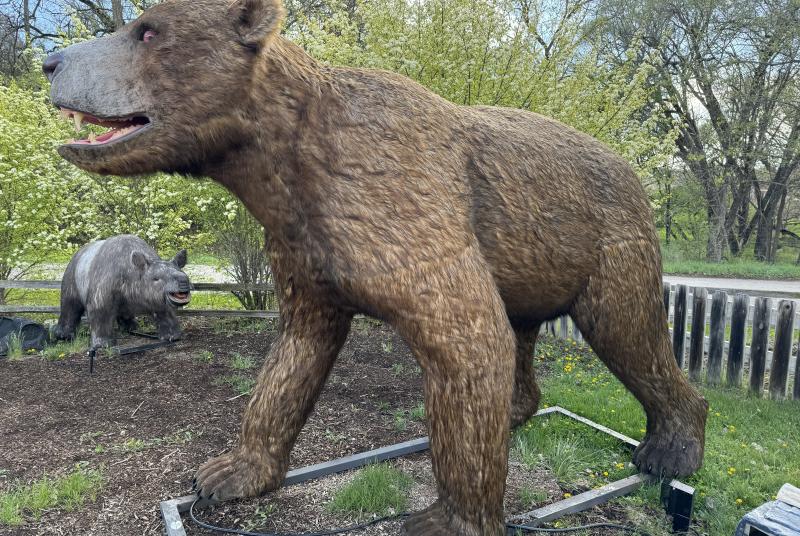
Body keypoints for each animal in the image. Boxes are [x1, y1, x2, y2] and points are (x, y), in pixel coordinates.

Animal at [55, 234, 191, 350]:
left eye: (185, 274)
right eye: (156, 279)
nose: (183, 280)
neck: (133, 272)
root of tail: (78, 251)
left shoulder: (156, 297)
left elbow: (165, 312)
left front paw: (172, 337)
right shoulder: (100, 296)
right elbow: (100, 314)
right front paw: (103, 345)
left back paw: (130, 329)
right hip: (72, 270)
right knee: (70, 303)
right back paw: (63, 336)